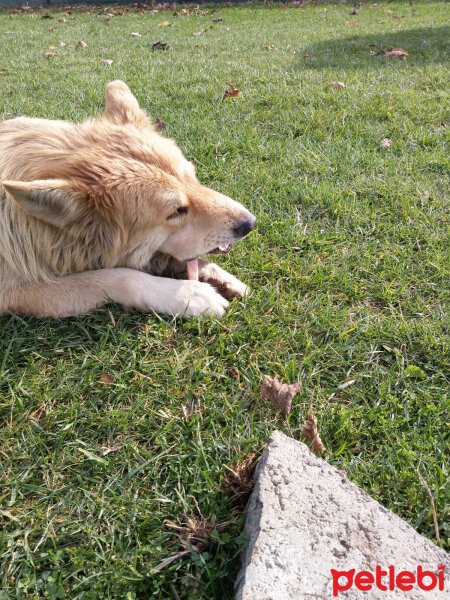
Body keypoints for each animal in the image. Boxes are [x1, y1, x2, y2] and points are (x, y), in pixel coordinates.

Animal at [0, 83, 253, 324]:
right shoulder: (14, 291)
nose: (251, 223)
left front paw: (217, 275)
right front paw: (190, 295)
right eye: (176, 211)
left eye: (194, 178)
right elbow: (120, 276)